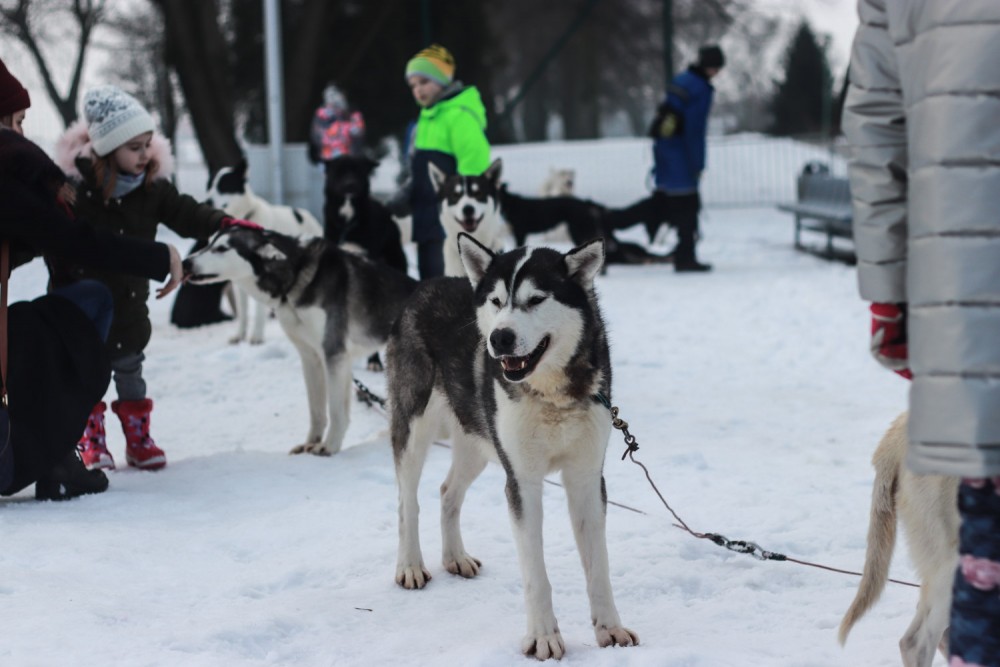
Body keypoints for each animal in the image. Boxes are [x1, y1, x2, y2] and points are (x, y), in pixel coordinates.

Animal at [183, 226, 417, 456]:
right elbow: (317, 410)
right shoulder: (311, 357)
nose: (186, 262)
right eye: (208, 243)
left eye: (222, 248)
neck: (294, 276)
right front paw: (310, 443)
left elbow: (335, 410)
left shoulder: (334, 354)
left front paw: (329, 446)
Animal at [205, 158, 324, 344]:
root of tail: (305, 214)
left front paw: (256, 337)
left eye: (224, 186)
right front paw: (240, 335)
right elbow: (243, 312)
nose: (208, 201)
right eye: (209, 185)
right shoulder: (239, 280)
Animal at [387, 233, 638, 660]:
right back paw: (410, 565)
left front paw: (610, 629)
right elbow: (536, 573)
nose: (499, 338)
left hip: (477, 444)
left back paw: (454, 557)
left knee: (447, 492)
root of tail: (424, 286)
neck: (551, 394)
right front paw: (543, 637)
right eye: (496, 301)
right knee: (409, 502)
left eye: (536, 299)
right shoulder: (522, 481)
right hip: (415, 428)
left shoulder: (587, 479)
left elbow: (598, 567)